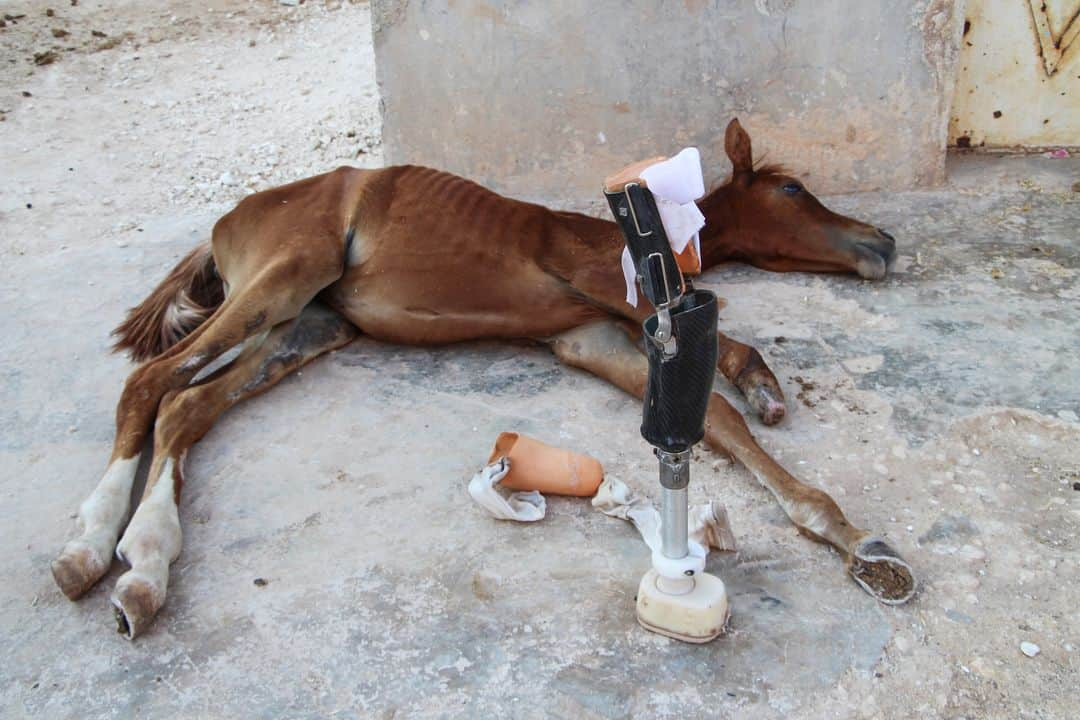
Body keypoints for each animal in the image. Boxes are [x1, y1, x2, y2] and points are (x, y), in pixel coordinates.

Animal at [52, 119, 911, 643]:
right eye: (793, 189)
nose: (885, 241)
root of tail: (224, 225)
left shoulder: (592, 339)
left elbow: (717, 426)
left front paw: (849, 537)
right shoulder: (606, 293)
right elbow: (728, 359)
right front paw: (766, 387)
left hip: (307, 323)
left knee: (187, 405)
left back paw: (139, 566)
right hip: (286, 272)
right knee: (149, 386)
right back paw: (99, 547)